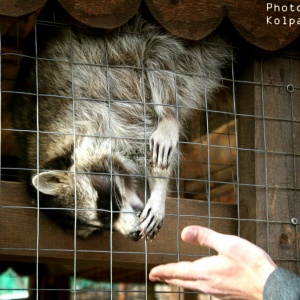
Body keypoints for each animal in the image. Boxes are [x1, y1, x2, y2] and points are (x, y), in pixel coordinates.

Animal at [12, 14, 231, 241]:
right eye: (99, 228)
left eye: (106, 207)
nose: (133, 235)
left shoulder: (104, 114)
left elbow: (145, 145)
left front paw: (159, 189)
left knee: (161, 60)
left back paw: (168, 116)